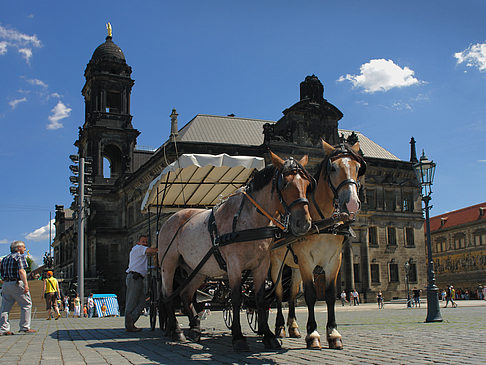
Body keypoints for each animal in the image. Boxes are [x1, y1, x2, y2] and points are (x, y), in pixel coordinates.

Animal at [158, 151, 314, 350]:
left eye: (307, 184)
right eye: (284, 184)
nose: (303, 223)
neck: (249, 220)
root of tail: (171, 218)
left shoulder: (261, 264)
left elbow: (260, 299)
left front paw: (268, 336)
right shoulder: (234, 265)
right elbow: (237, 299)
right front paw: (238, 337)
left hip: (198, 270)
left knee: (186, 295)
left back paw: (195, 328)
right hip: (168, 265)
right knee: (168, 295)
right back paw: (176, 330)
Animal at [270, 139, 364, 346]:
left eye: (358, 167)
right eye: (333, 168)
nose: (352, 203)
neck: (323, 222)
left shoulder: (334, 261)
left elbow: (330, 295)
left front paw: (333, 333)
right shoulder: (307, 261)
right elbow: (311, 295)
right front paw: (312, 333)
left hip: (294, 267)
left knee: (292, 293)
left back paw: (293, 327)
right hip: (276, 264)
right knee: (279, 293)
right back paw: (280, 327)